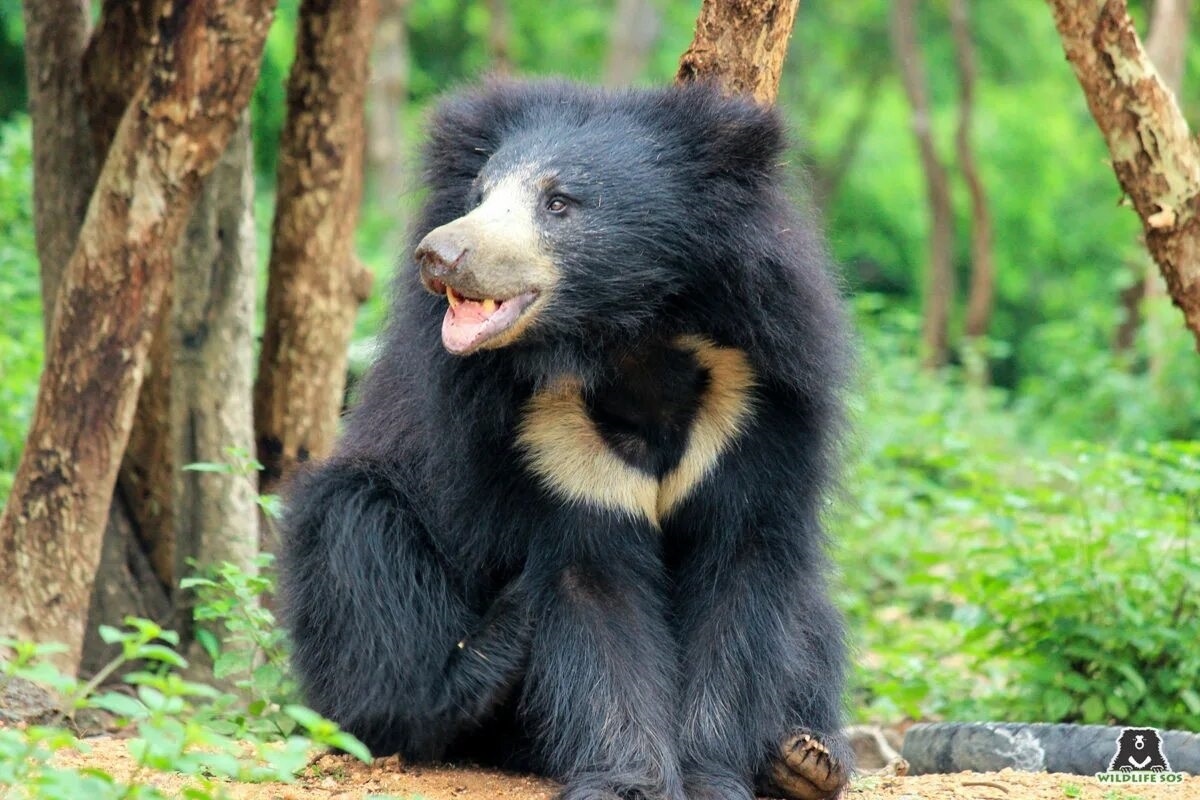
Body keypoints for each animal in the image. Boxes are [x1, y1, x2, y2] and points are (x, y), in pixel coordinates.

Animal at [281, 80, 853, 800]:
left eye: (559, 203)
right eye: (479, 195)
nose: (441, 254)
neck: (629, 343)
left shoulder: (753, 400)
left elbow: (739, 576)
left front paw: (712, 777)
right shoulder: (548, 442)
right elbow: (593, 589)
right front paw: (630, 784)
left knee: (815, 621)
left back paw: (805, 757)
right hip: (378, 520)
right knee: (357, 542)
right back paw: (483, 655)